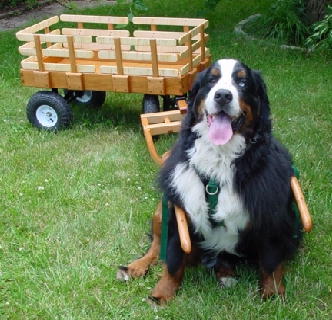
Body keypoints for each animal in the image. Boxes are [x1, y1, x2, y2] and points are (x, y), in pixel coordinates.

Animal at [116, 59, 300, 302]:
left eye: (242, 82)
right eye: (212, 80)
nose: (223, 95)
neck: (220, 158)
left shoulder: (270, 209)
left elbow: (271, 262)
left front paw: (273, 294)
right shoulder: (179, 207)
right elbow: (173, 259)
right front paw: (162, 294)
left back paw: (225, 273)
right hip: (161, 209)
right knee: (156, 245)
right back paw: (135, 267)